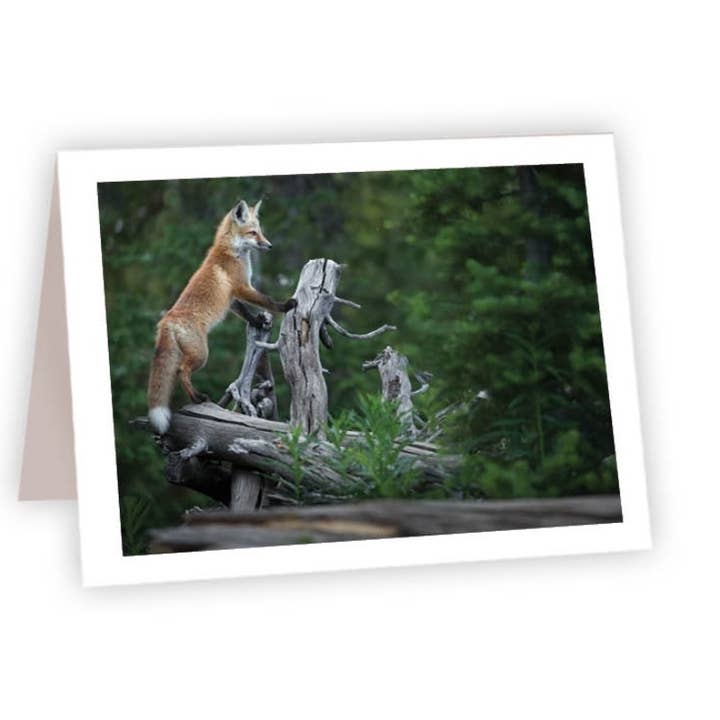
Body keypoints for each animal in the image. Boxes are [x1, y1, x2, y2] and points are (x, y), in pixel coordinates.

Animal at [147, 199, 297, 434]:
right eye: (253, 233)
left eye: (260, 231)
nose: (270, 245)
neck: (232, 251)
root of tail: (166, 320)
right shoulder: (242, 287)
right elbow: (267, 300)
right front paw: (285, 306)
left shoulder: (232, 298)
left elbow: (246, 313)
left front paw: (257, 321)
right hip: (201, 354)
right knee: (182, 371)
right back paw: (198, 398)